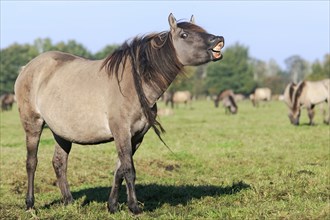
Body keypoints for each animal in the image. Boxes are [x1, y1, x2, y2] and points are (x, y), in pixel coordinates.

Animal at [13, 13, 224, 213]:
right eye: (184, 34)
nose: (218, 40)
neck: (134, 84)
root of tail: (27, 68)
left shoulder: (136, 137)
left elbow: (120, 170)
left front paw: (112, 206)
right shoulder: (121, 132)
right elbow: (129, 170)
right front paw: (134, 207)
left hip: (61, 132)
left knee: (59, 163)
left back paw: (69, 202)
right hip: (32, 124)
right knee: (31, 162)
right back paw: (30, 204)